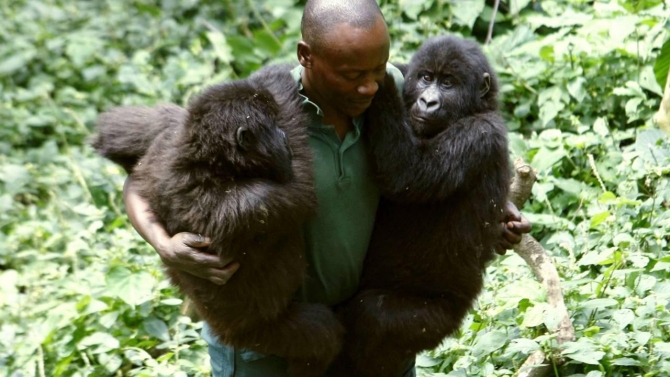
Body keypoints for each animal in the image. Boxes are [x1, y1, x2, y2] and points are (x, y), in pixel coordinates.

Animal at [92, 65, 344, 376]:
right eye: (273, 127)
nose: (282, 138)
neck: (213, 162)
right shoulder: (258, 201)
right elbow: (301, 185)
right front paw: (279, 79)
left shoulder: (170, 136)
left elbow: (118, 135)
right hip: (257, 335)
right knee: (320, 334)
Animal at [336, 36, 516, 376]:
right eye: (426, 78)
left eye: (448, 83)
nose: (428, 102)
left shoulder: (481, 134)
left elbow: (408, 173)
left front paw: (382, 85)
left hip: (441, 318)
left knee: (375, 315)